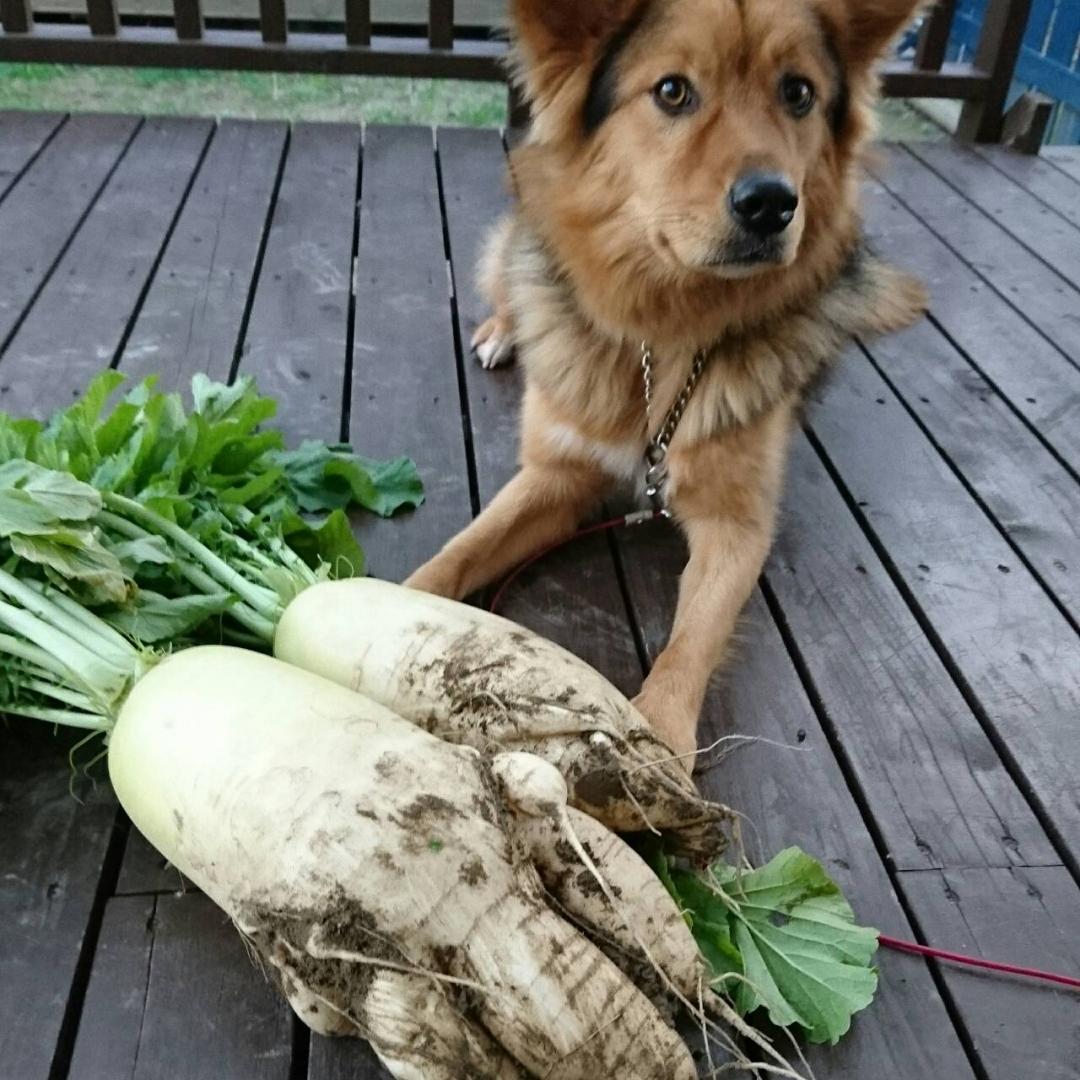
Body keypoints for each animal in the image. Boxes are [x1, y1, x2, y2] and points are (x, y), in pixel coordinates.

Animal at [406, 0, 928, 764]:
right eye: (673, 91)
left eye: (798, 93)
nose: (772, 204)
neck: (665, 332)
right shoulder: (557, 474)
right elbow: (457, 552)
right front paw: (376, 598)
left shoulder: (737, 525)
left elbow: (693, 639)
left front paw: (658, 737)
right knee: (508, 273)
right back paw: (505, 329)